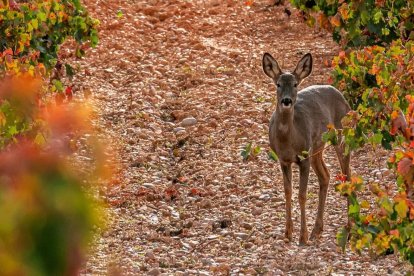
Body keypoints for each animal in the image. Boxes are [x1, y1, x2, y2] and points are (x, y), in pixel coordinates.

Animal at [264, 52, 350, 245]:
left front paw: (302, 237)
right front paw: (288, 233)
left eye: (295, 84)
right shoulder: (284, 160)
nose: (286, 101)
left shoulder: (304, 158)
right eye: (278, 84)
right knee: (325, 176)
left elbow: (302, 194)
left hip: (342, 135)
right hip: (317, 147)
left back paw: (351, 226)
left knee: (348, 176)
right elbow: (288, 192)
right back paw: (317, 230)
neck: (289, 140)